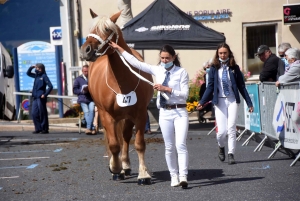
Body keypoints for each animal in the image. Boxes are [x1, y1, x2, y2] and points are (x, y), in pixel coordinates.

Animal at [80, 9, 154, 185]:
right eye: (91, 29)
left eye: (107, 29)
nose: (86, 50)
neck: (121, 82)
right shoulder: (106, 115)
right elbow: (114, 144)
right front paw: (115, 168)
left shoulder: (140, 114)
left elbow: (139, 144)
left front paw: (143, 174)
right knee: (114, 139)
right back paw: (119, 167)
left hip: (127, 116)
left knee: (126, 137)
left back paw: (126, 165)